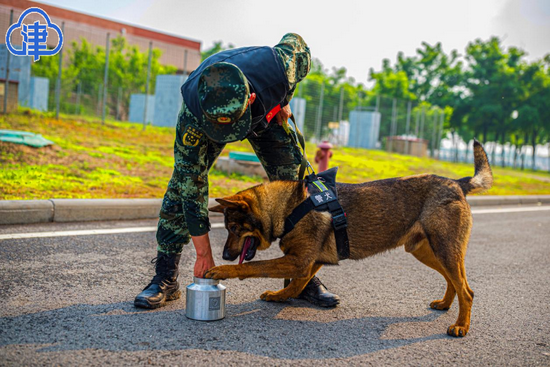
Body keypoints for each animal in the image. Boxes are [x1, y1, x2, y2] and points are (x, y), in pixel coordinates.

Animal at [207, 142, 496, 340]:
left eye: (234, 228)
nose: (225, 255)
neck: (289, 208)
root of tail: (456, 182)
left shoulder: (298, 261)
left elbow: (252, 267)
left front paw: (223, 270)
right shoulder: (309, 263)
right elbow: (296, 285)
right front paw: (281, 296)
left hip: (444, 251)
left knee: (467, 290)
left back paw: (461, 326)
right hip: (429, 252)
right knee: (454, 282)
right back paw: (446, 304)